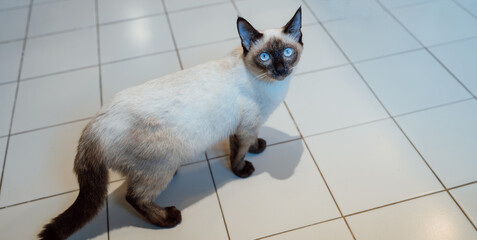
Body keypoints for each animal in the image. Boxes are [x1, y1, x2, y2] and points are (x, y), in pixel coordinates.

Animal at [40, 7, 302, 240]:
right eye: (265, 57)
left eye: (288, 52)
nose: (280, 70)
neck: (269, 85)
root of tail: (94, 125)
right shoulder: (244, 128)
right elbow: (237, 155)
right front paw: (242, 170)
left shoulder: (250, 126)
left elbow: (253, 140)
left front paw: (258, 147)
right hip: (161, 164)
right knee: (134, 197)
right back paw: (169, 218)